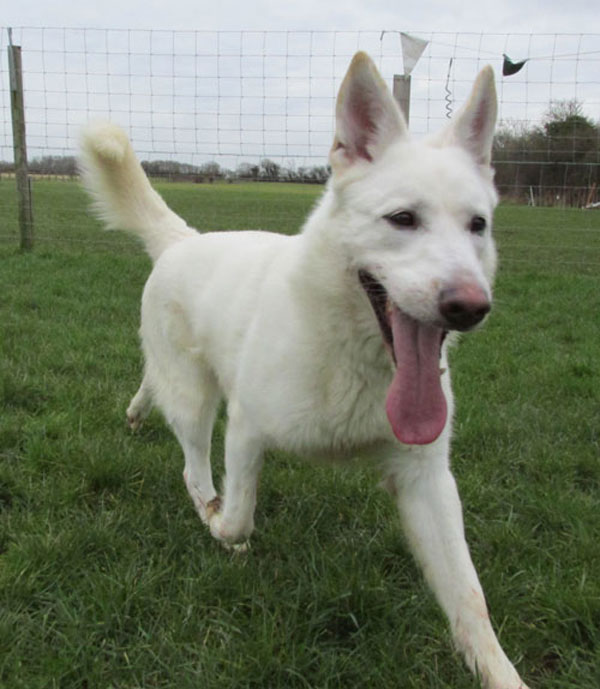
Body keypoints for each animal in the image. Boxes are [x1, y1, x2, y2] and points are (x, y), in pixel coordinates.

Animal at [81, 52, 528, 688]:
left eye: (478, 226)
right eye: (402, 219)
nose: (469, 307)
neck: (354, 359)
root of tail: (182, 239)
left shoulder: (427, 479)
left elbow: (471, 601)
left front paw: (501, 674)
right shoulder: (246, 430)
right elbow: (238, 517)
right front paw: (220, 527)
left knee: (153, 388)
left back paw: (138, 411)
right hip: (197, 403)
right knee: (192, 466)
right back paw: (201, 498)